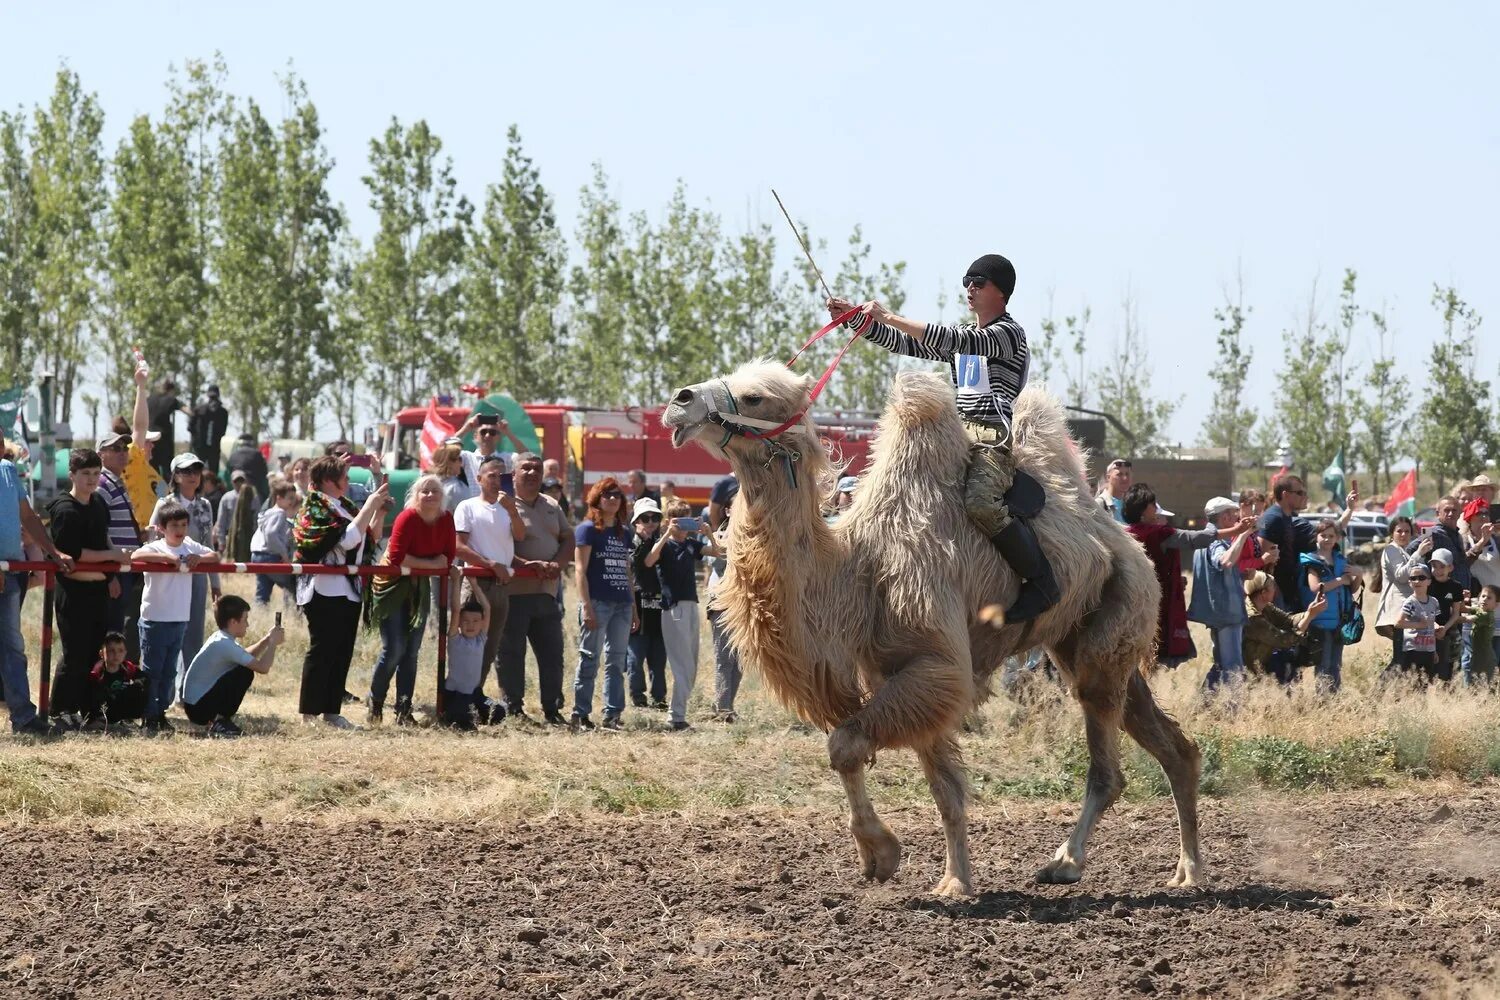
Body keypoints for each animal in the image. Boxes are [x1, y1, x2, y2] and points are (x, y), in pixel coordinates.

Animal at [663, 365, 1200, 899]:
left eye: (754, 396)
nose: (679, 400)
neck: (857, 570)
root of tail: (1125, 539)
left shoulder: (936, 662)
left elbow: (844, 745)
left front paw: (885, 854)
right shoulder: (900, 671)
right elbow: (942, 789)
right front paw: (949, 877)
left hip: (1116, 614)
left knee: (1107, 762)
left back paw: (1067, 863)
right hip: (1086, 639)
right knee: (1174, 746)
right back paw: (1187, 870)